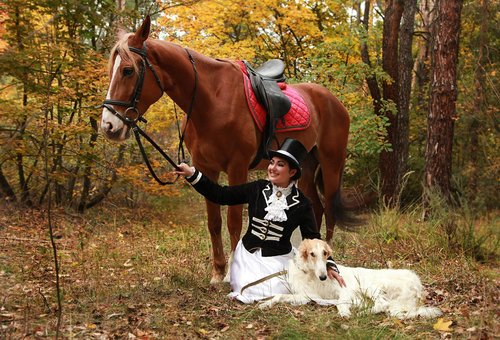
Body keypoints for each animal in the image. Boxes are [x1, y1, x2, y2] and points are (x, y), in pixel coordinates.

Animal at [100, 16, 352, 282]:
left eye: (128, 70)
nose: (108, 125)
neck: (212, 100)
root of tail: (333, 100)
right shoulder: (205, 168)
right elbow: (214, 222)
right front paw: (218, 272)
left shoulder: (237, 167)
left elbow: (233, 222)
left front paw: (233, 271)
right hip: (304, 166)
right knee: (316, 207)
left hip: (331, 164)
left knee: (330, 210)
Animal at [260, 238, 444, 320]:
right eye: (312, 254)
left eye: (325, 253)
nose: (323, 277)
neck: (310, 273)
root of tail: (417, 285)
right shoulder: (305, 296)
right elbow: (278, 296)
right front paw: (265, 304)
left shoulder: (344, 289)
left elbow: (341, 303)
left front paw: (344, 312)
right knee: (384, 307)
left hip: (371, 286)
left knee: (382, 304)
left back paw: (361, 312)